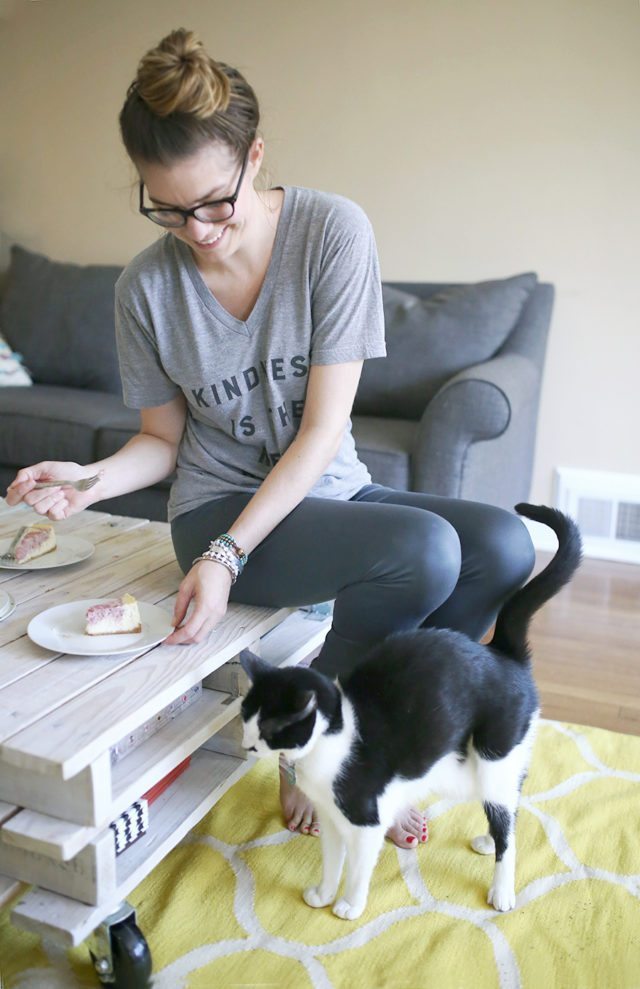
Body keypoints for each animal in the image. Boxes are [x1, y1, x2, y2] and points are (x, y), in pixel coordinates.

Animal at [239, 506, 580, 924]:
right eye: (245, 715)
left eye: (270, 726)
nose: (247, 745)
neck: (331, 746)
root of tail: (501, 653)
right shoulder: (330, 819)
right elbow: (332, 860)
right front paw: (322, 894)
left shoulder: (365, 822)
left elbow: (357, 867)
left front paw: (348, 905)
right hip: (478, 768)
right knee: (509, 807)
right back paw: (488, 840)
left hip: (492, 757)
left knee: (506, 823)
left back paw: (502, 890)